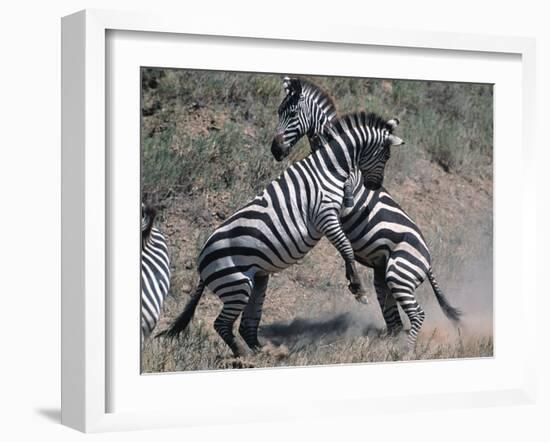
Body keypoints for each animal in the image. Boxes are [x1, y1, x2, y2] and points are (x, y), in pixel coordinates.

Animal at [160, 110, 406, 356]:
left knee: (246, 324)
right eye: (386, 156)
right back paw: (244, 356)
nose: (375, 186)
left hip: (256, 280)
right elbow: (346, 248)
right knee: (221, 324)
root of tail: (201, 262)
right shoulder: (324, 215)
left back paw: (262, 352)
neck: (329, 167)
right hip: (236, 285)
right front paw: (358, 288)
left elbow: (347, 226)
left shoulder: (335, 212)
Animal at [270, 76, 462, 348]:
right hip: (384, 276)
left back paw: (404, 351)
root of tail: (428, 261)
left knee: (416, 314)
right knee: (394, 320)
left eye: (294, 114)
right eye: (279, 112)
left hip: (399, 274)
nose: (275, 150)